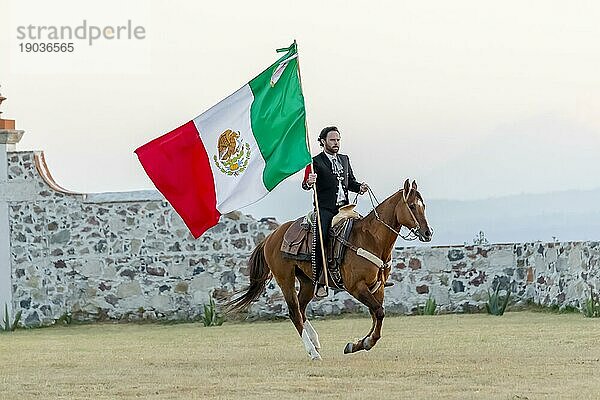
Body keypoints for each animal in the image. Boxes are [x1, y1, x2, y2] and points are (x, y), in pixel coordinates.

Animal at [226, 178, 432, 360]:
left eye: (423, 206)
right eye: (412, 206)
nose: (428, 233)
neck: (370, 239)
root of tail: (271, 237)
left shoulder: (377, 287)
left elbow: (377, 315)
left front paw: (357, 344)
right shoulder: (357, 287)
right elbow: (378, 312)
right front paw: (365, 343)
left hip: (308, 282)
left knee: (301, 309)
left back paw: (315, 341)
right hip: (285, 279)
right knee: (294, 312)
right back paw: (313, 352)